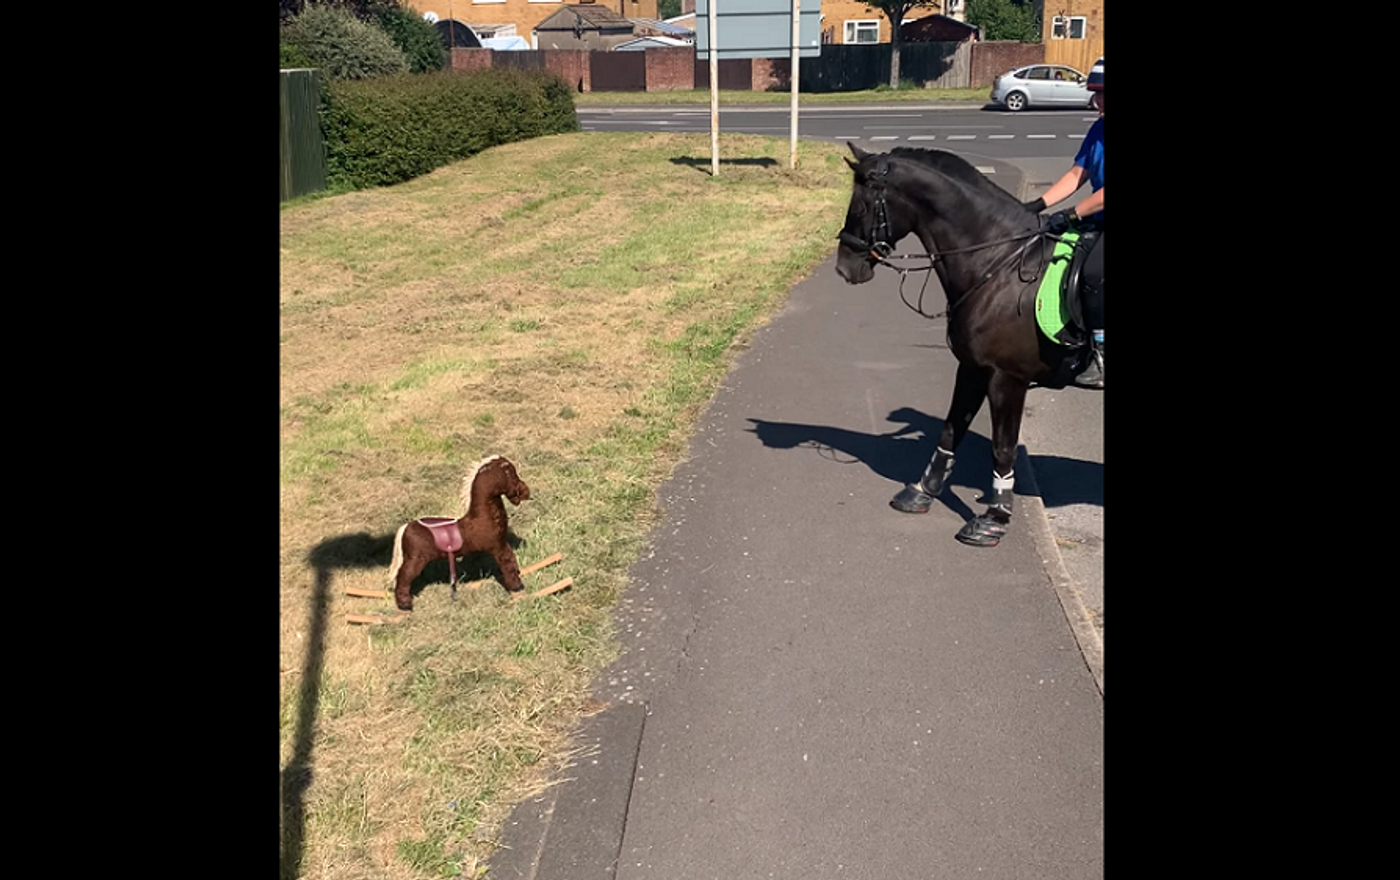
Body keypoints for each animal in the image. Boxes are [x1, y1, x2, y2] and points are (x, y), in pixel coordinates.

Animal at [834, 142, 1075, 542]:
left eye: (862, 207)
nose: (844, 267)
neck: (998, 265)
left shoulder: (1008, 378)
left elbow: (1003, 447)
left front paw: (995, 518)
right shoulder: (974, 368)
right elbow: (950, 430)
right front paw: (922, 490)